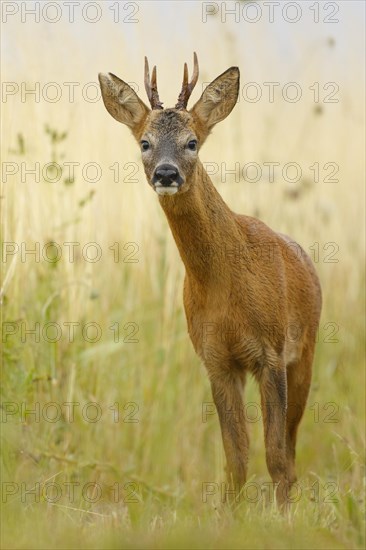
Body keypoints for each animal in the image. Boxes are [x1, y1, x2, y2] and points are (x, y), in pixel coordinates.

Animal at [98, 54, 322, 506]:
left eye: (192, 142)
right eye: (144, 142)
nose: (166, 173)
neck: (224, 287)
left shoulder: (271, 353)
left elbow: (275, 458)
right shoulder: (215, 358)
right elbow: (235, 458)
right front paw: (229, 515)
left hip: (305, 351)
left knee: (290, 452)